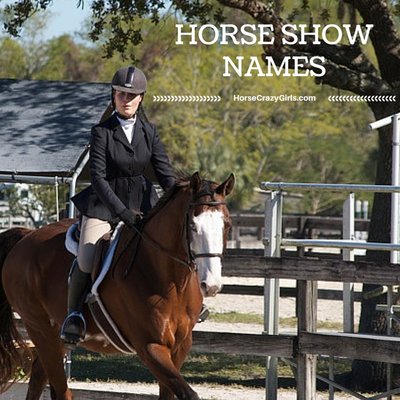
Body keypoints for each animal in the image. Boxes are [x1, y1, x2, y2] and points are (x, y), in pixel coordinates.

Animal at [0, 172, 234, 400]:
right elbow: (189, 394)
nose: (211, 285)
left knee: (39, 377)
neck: (172, 283)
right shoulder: (150, 347)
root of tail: (26, 237)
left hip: (56, 336)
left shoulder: (179, 347)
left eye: (227, 225)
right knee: (59, 386)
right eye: (193, 225)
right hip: (40, 329)